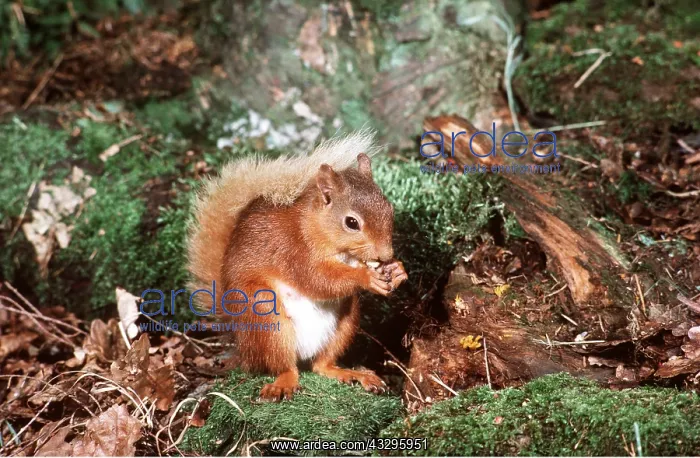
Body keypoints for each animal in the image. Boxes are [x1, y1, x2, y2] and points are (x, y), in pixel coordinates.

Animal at [186, 131, 408, 401]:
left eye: (390, 209)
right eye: (352, 222)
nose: (386, 254)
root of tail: (242, 344)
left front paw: (397, 270)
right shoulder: (292, 250)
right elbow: (317, 279)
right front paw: (366, 277)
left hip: (345, 320)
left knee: (321, 365)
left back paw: (352, 373)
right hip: (265, 315)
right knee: (284, 366)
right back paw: (284, 383)